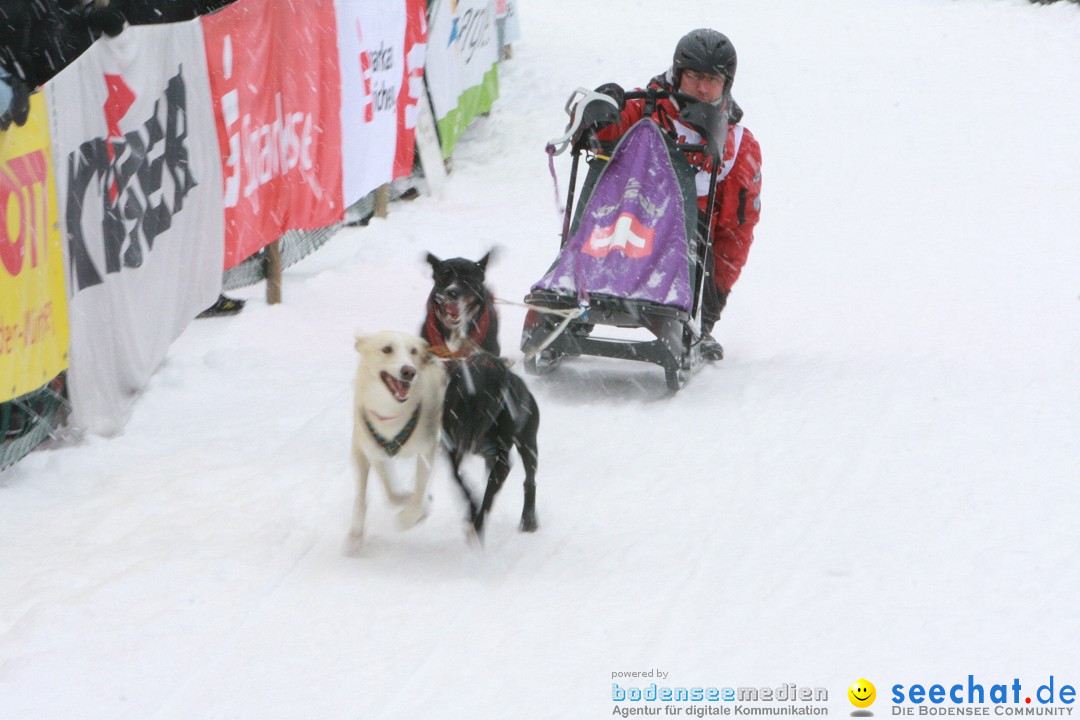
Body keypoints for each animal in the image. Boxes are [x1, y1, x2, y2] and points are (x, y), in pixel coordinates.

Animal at [345, 330, 447, 557]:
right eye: (387, 349)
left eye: (414, 351)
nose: (409, 370)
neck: (391, 413)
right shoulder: (367, 451)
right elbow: (379, 496)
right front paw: (355, 536)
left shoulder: (427, 449)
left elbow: (419, 495)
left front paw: (408, 518)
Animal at [440, 354, 537, 539]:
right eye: (458, 407)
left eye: (485, 409)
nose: (468, 443)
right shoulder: (452, 450)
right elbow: (459, 479)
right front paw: (472, 510)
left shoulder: (503, 462)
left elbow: (489, 494)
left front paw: (478, 525)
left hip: (528, 446)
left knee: (529, 481)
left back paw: (529, 521)